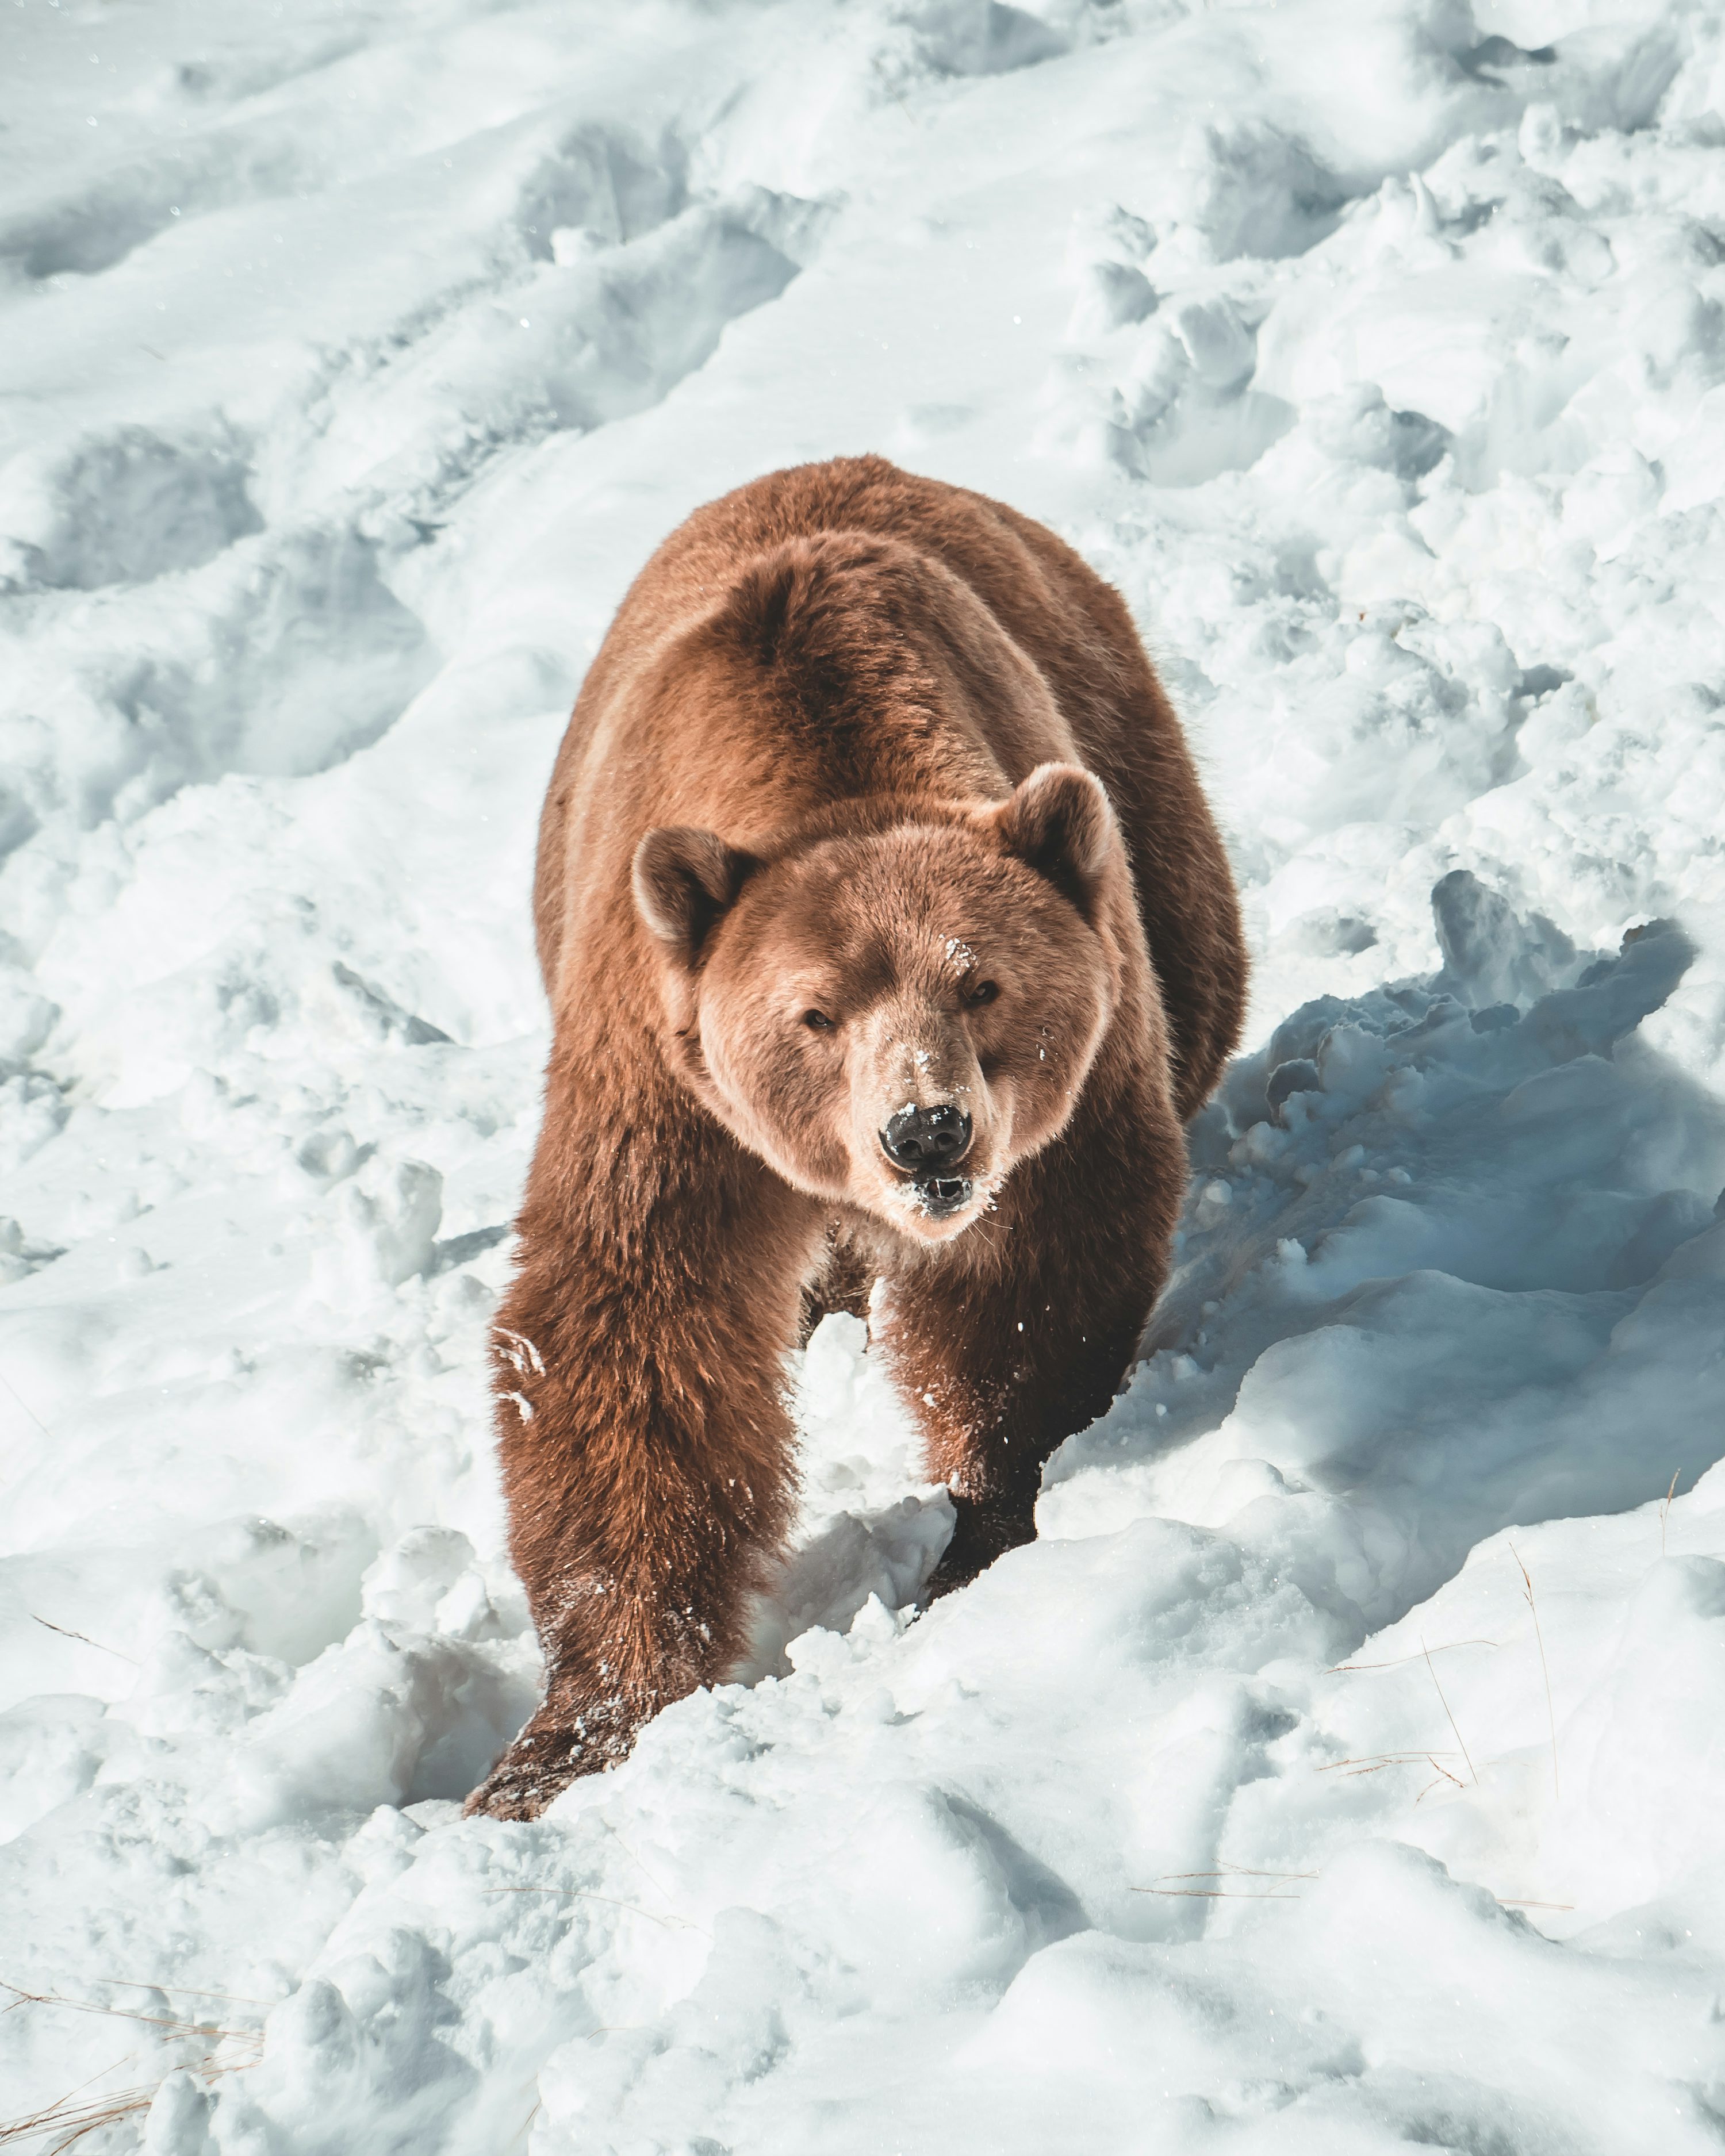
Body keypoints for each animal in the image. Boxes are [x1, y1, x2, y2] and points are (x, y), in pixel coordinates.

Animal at [465, 454, 1247, 1820]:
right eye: (813, 1013)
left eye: (982, 983)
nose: (925, 1134)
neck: (828, 772)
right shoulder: (670, 1085)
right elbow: (628, 1337)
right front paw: (574, 1731)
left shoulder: (1065, 1103)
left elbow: (1026, 1297)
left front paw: (982, 1527)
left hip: (1133, 798)